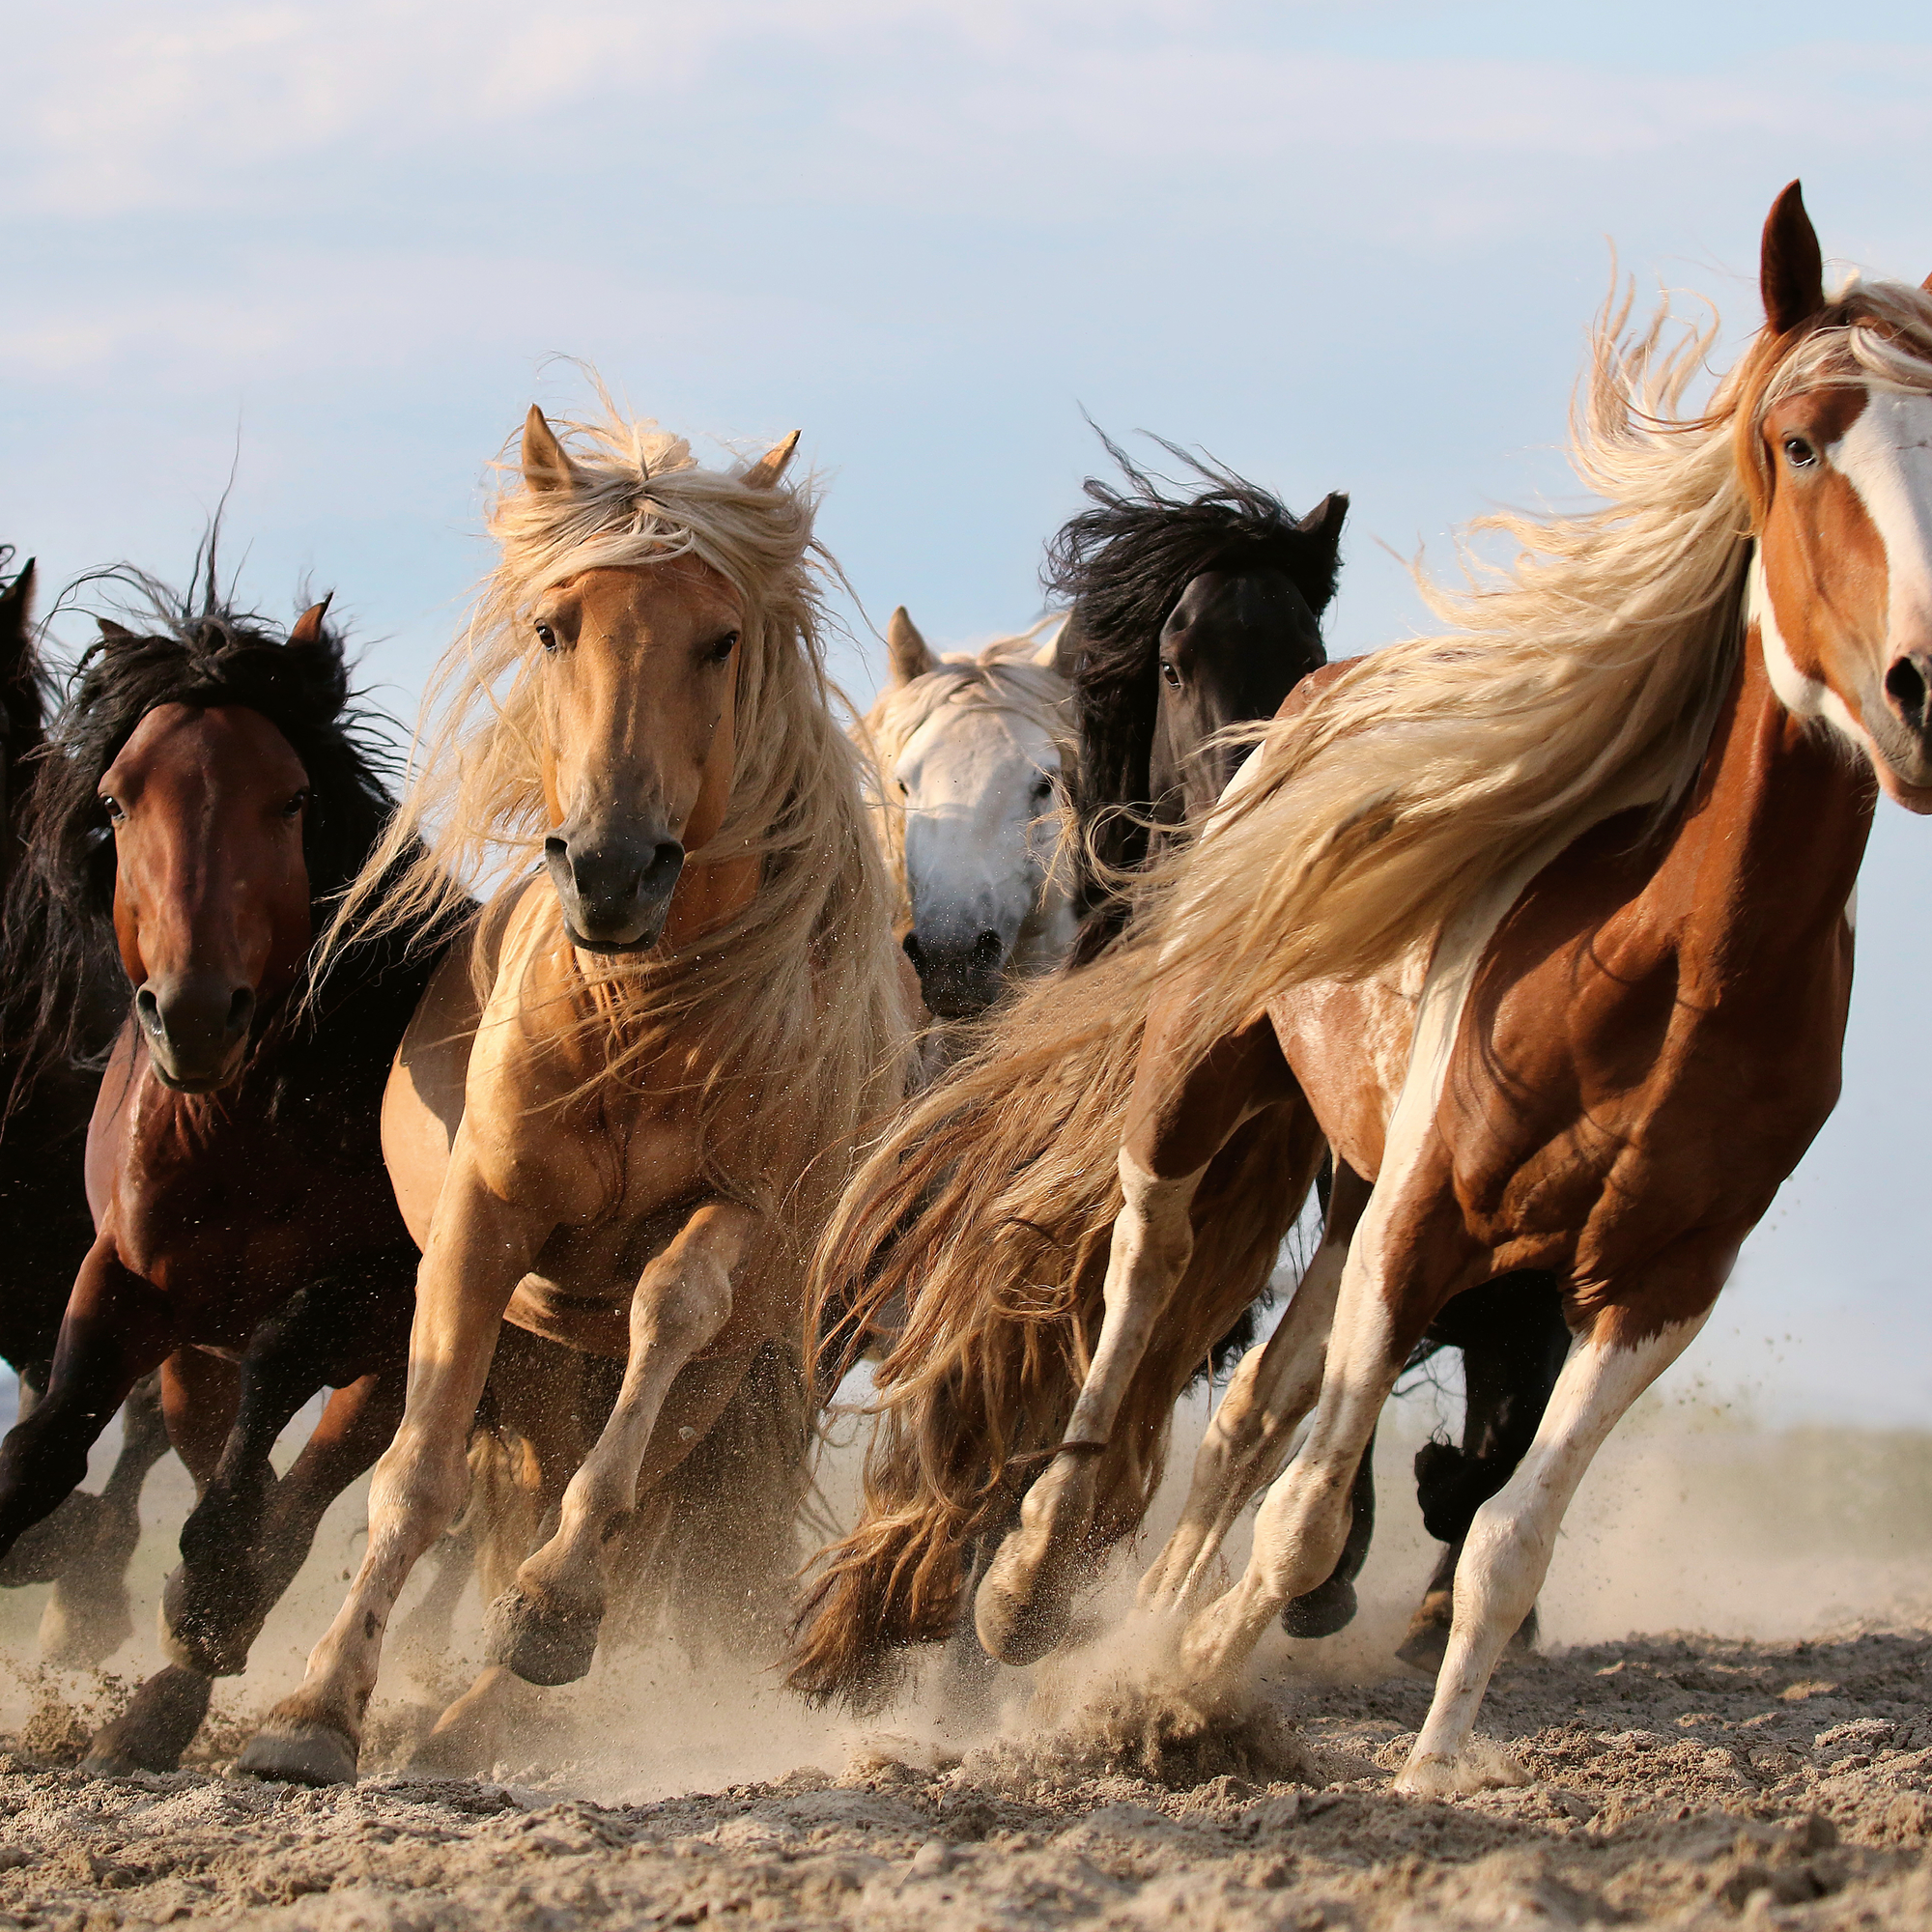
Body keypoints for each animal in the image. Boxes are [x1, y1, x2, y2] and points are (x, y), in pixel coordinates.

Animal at [0, 574, 453, 1774]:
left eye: (290, 800)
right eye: (116, 803)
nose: (194, 1013)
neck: (244, 1120)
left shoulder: (380, 1294)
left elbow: (280, 1385)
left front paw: (207, 1594)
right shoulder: (125, 1278)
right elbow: (46, 1443)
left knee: (305, 1493)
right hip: (193, 1352)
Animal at [236, 399, 910, 1786]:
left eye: (720, 638)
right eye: (555, 627)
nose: (609, 869)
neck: (636, 1023)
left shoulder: (740, 1218)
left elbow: (665, 1319)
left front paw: (549, 1611)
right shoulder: (484, 1227)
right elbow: (418, 1476)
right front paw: (314, 1709)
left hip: (720, 1376)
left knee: (636, 1500)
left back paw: (491, 1699)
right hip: (546, 1357)